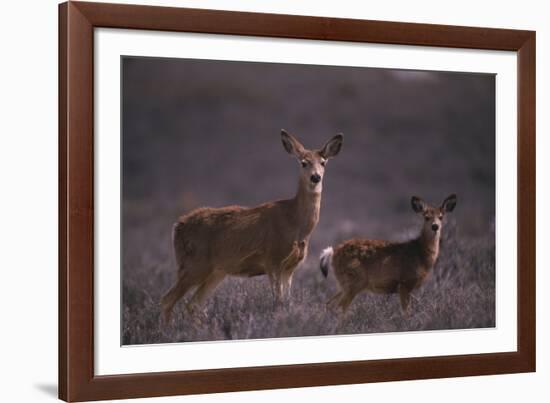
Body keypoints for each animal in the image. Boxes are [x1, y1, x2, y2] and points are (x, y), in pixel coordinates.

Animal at [162, 129, 344, 322]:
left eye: (323, 162)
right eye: (303, 163)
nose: (315, 177)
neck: (295, 223)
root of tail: (177, 226)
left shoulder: (290, 267)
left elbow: (287, 302)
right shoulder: (273, 259)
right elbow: (277, 302)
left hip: (215, 271)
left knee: (193, 304)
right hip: (194, 263)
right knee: (168, 300)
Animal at [320, 196, 458, 316]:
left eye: (441, 217)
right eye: (426, 217)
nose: (435, 226)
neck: (420, 255)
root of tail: (333, 252)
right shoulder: (404, 283)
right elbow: (406, 313)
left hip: (344, 283)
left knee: (329, 304)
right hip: (354, 279)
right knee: (340, 307)